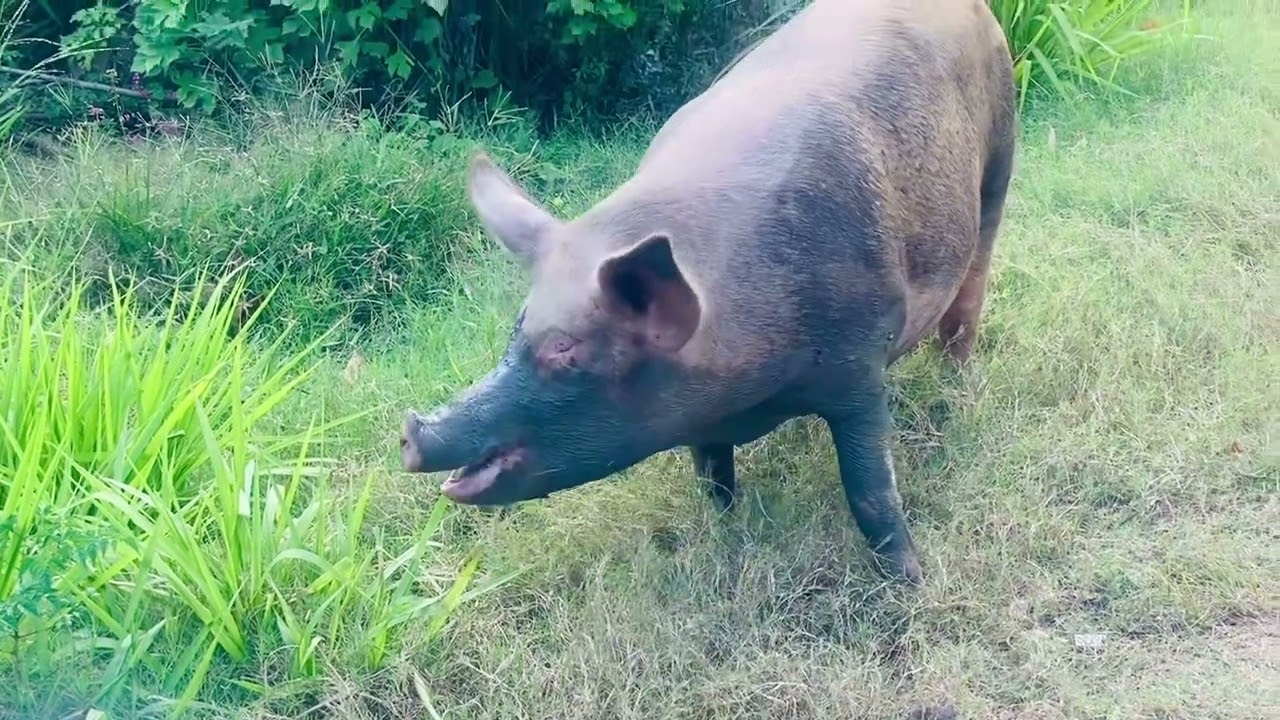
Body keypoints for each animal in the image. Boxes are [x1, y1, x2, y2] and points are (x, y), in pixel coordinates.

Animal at [399, 0, 1016, 584]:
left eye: (566, 351)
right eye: (517, 330)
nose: (410, 431)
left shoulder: (858, 362)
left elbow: (869, 488)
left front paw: (910, 582)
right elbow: (711, 471)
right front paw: (724, 528)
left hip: (1000, 154)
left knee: (972, 287)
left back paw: (956, 387)